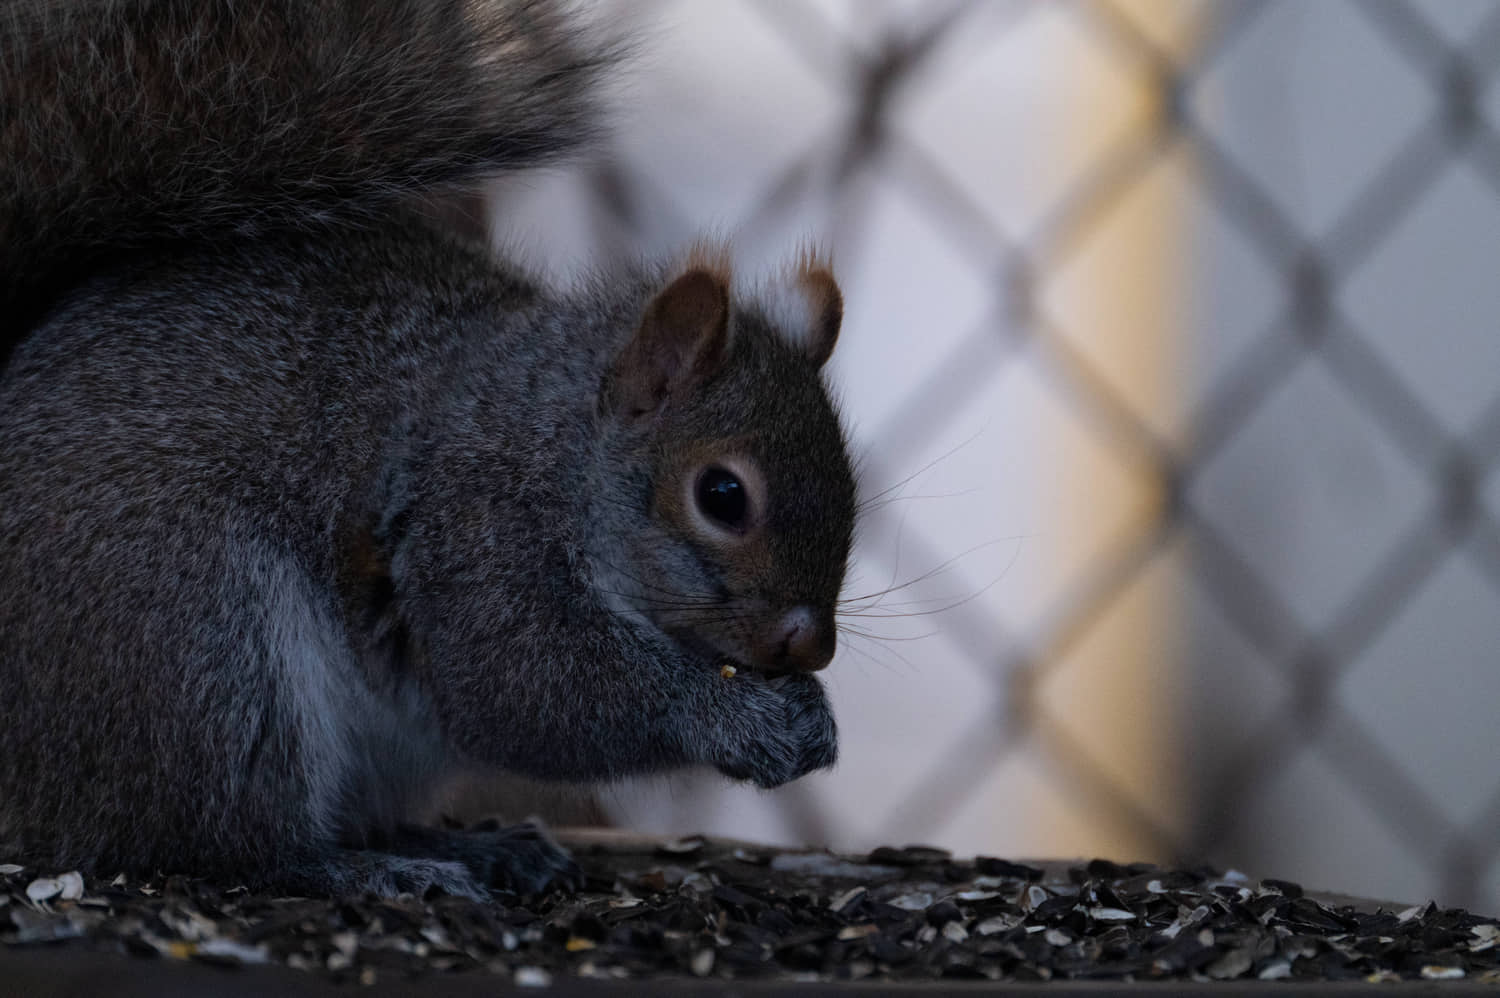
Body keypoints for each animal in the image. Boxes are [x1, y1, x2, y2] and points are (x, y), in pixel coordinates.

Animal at [0, 0, 864, 900]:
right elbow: (526, 690)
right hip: (192, 635)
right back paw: (363, 871)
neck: (555, 445)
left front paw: (813, 716)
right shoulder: (473, 533)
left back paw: (475, 849)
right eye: (722, 496)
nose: (812, 645)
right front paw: (737, 721)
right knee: (228, 836)